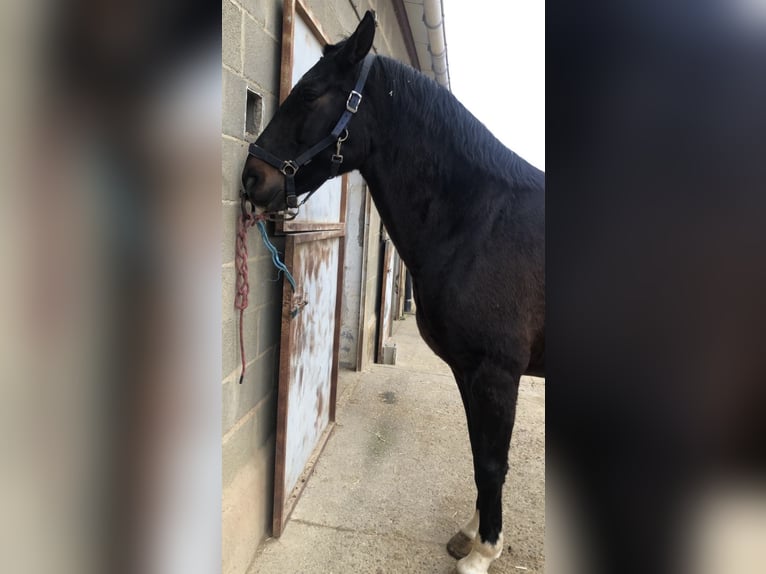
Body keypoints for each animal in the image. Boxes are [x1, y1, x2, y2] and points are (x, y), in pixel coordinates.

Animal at [242, 10, 544, 574]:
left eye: (311, 93)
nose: (252, 178)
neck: (481, 224)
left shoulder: (496, 373)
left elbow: (493, 462)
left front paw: (482, 553)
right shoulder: (469, 370)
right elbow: (479, 453)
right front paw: (471, 533)